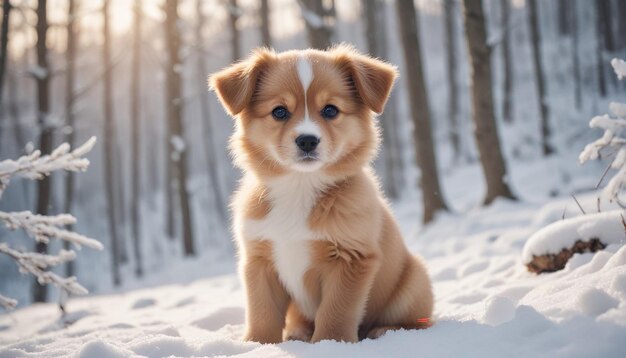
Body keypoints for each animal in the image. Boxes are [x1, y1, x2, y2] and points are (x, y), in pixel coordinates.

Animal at [210, 44, 428, 344]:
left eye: (330, 110)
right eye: (279, 112)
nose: (307, 140)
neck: (300, 187)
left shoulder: (351, 259)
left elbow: (335, 312)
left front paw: (330, 343)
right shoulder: (259, 260)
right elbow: (262, 312)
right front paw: (259, 344)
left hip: (415, 279)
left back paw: (386, 330)